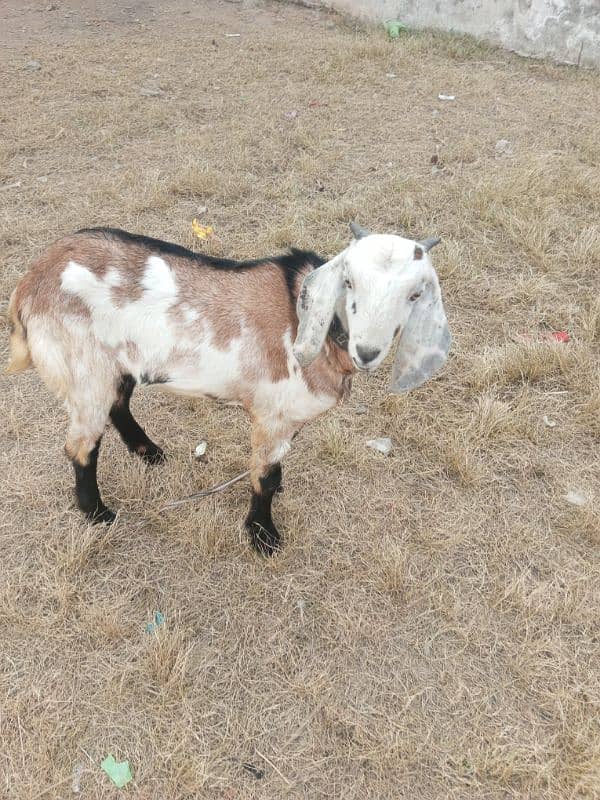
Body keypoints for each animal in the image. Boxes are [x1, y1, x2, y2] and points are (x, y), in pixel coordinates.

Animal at [5, 222, 450, 552]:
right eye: (350, 282)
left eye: (415, 294)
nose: (368, 351)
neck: (310, 324)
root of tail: (30, 282)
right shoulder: (272, 414)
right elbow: (263, 476)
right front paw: (262, 535)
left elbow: (273, 467)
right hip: (84, 368)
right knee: (81, 444)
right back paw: (97, 513)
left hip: (120, 361)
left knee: (118, 403)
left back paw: (148, 451)